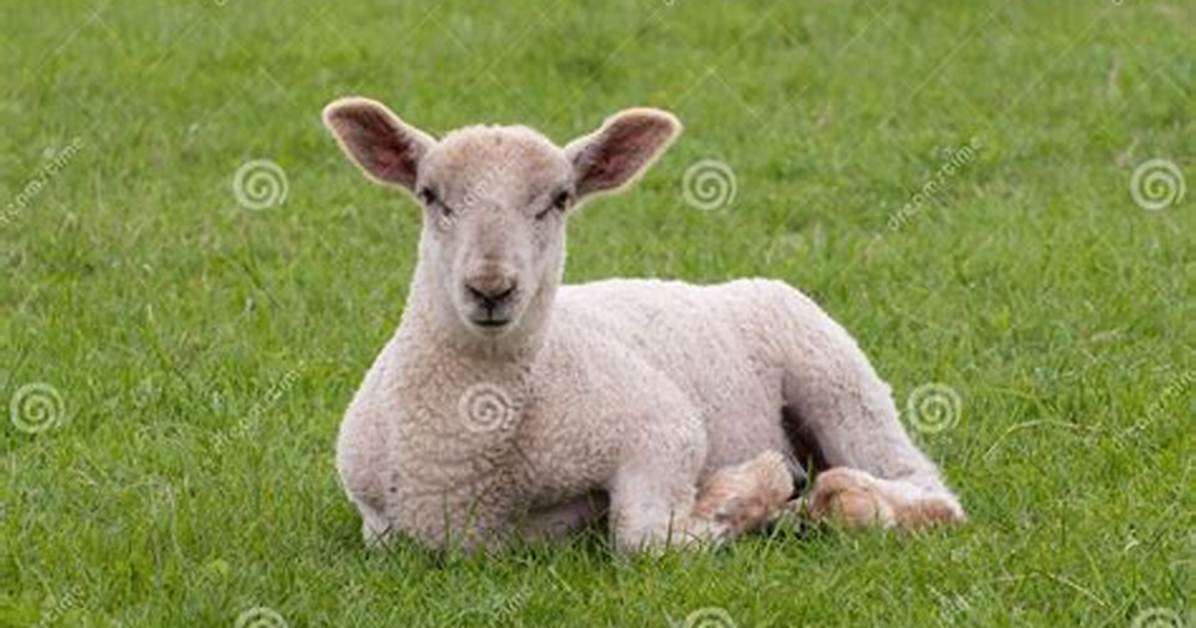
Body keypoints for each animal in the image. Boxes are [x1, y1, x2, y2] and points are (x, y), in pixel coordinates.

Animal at [323, 97, 966, 553]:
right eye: (431, 196)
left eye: (560, 199)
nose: (490, 288)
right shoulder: (378, 525)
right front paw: (759, 498)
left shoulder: (663, 428)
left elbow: (643, 540)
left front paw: (747, 488)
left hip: (835, 373)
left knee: (924, 486)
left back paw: (847, 499)